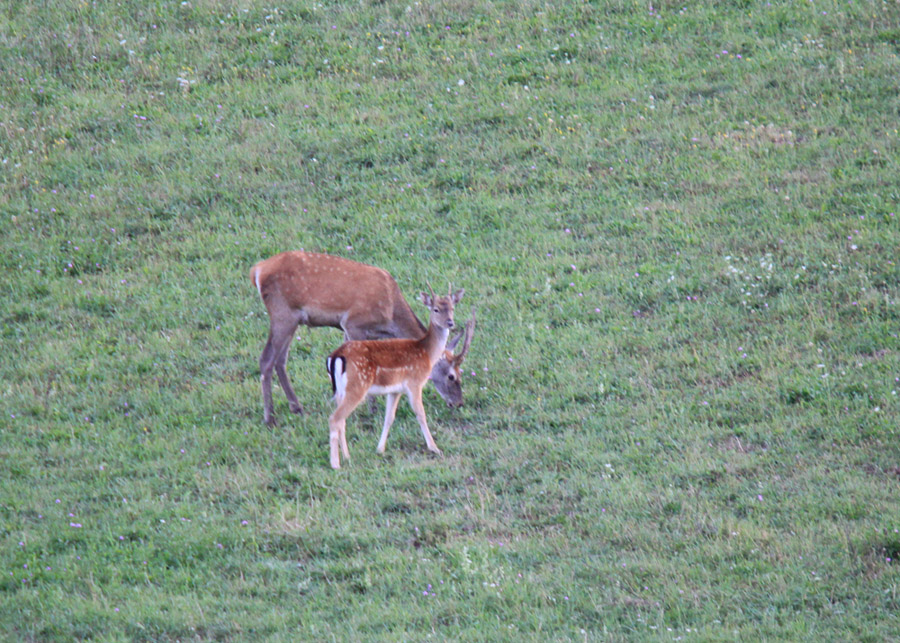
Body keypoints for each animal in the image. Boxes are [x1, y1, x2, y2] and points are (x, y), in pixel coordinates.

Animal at [251, 252, 478, 428]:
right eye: (452, 376)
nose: (458, 403)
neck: (390, 315)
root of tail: (257, 270)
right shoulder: (353, 323)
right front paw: (370, 409)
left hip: (293, 319)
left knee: (280, 360)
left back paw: (296, 407)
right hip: (283, 313)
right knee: (266, 359)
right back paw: (270, 418)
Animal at [324, 286, 464, 468]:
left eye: (452, 308)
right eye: (436, 309)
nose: (450, 322)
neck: (426, 352)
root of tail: (335, 357)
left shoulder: (395, 390)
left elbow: (389, 417)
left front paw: (380, 449)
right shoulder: (415, 382)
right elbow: (421, 414)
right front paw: (434, 448)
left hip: (341, 390)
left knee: (342, 420)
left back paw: (347, 457)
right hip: (357, 387)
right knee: (335, 419)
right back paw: (336, 464)